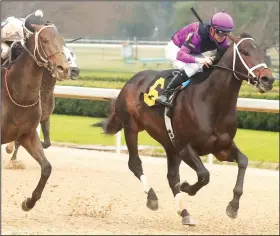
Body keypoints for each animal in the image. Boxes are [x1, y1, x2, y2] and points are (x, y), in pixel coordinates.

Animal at [1, 20, 69, 210]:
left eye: (62, 41)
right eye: (45, 40)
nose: (64, 68)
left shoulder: (27, 135)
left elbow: (46, 168)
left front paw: (29, 202)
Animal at [95, 32, 274, 225]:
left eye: (262, 51)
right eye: (245, 51)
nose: (268, 79)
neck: (210, 103)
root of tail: (132, 80)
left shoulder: (221, 147)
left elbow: (243, 161)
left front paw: (233, 207)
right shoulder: (184, 147)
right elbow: (204, 174)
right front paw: (187, 187)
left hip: (168, 143)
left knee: (171, 176)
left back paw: (185, 213)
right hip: (132, 128)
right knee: (135, 163)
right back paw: (152, 197)